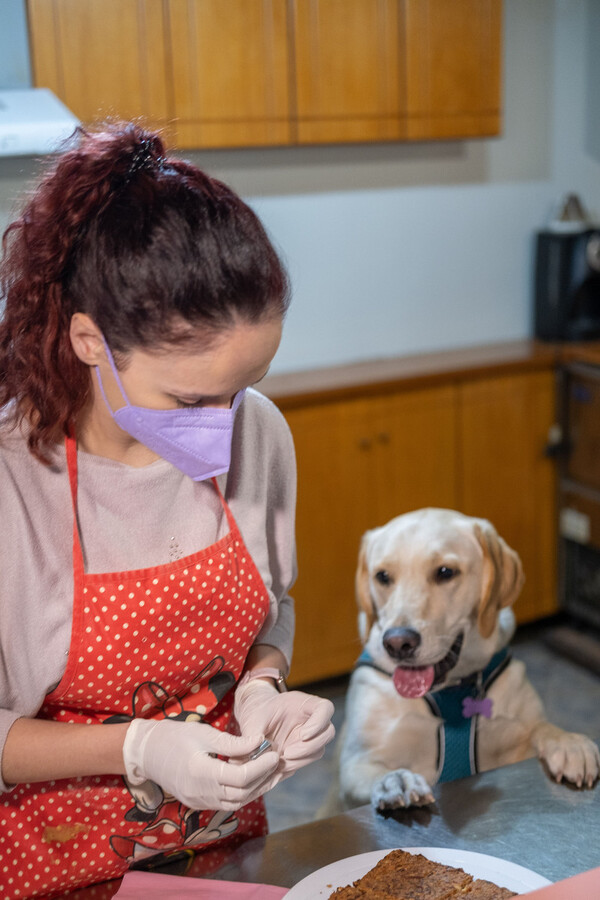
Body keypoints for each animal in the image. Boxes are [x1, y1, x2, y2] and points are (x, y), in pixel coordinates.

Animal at [332, 510, 600, 812]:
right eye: (383, 576)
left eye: (445, 572)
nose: (398, 643)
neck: (450, 690)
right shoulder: (357, 766)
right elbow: (379, 772)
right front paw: (397, 779)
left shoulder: (515, 740)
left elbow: (541, 727)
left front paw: (569, 743)